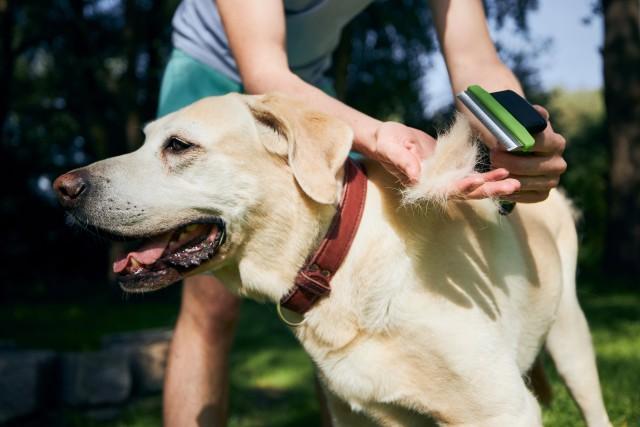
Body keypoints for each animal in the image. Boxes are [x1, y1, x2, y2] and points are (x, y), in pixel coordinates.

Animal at [53, 94, 608, 427]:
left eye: (179, 145)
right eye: (146, 141)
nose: (63, 188)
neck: (338, 257)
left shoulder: (502, 408)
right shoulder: (357, 414)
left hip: (571, 340)